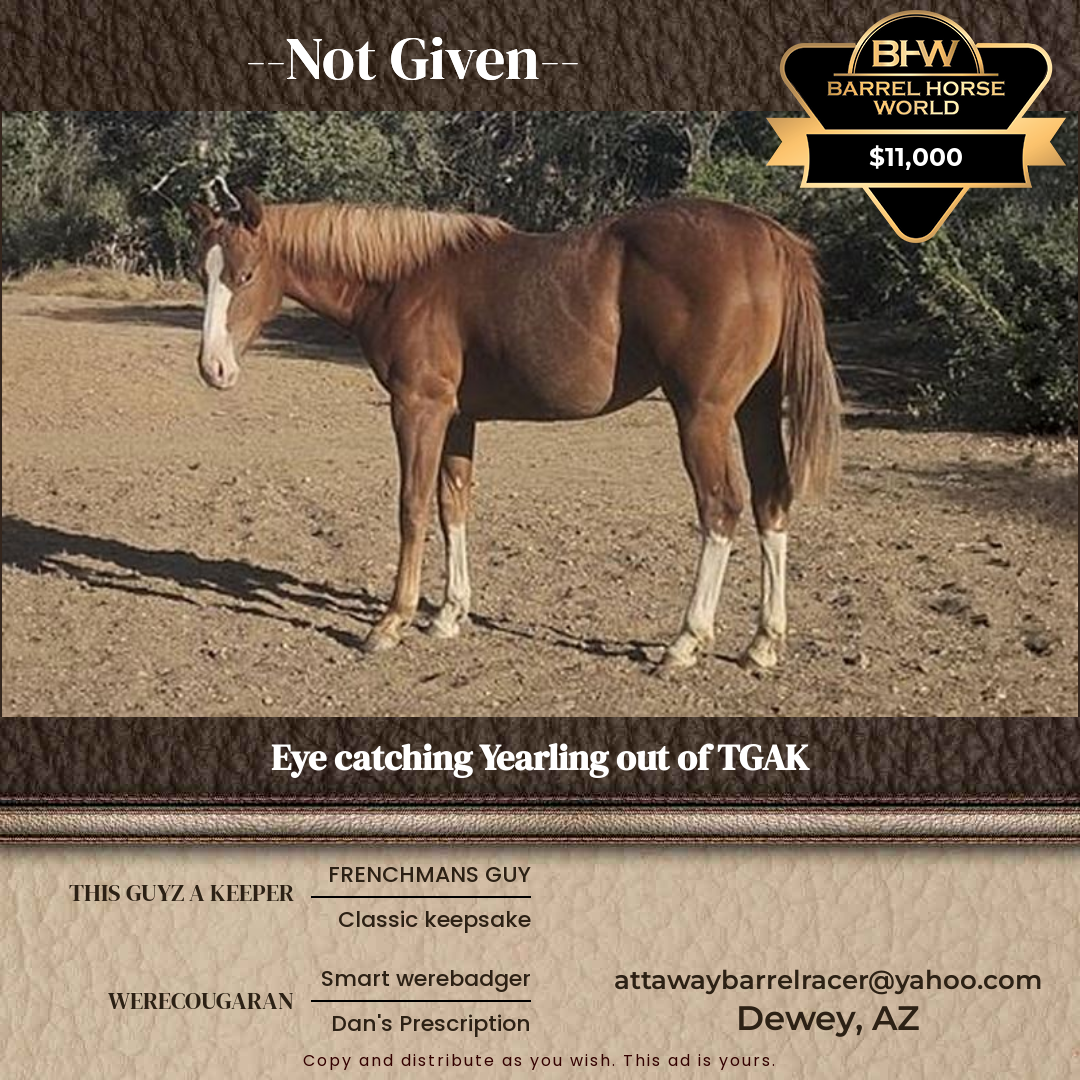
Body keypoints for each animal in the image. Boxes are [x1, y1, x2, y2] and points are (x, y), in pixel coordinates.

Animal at [189, 189, 840, 670]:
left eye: (246, 275)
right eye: (204, 276)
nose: (213, 368)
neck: (405, 280)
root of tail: (769, 238)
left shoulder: (418, 408)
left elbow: (412, 507)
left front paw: (391, 622)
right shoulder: (458, 417)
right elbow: (453, 505)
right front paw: (448, 614)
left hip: (703, 412)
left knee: (721, 507)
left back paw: (685, 641)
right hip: (755, 407)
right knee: (771, 502)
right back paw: (763, 644)